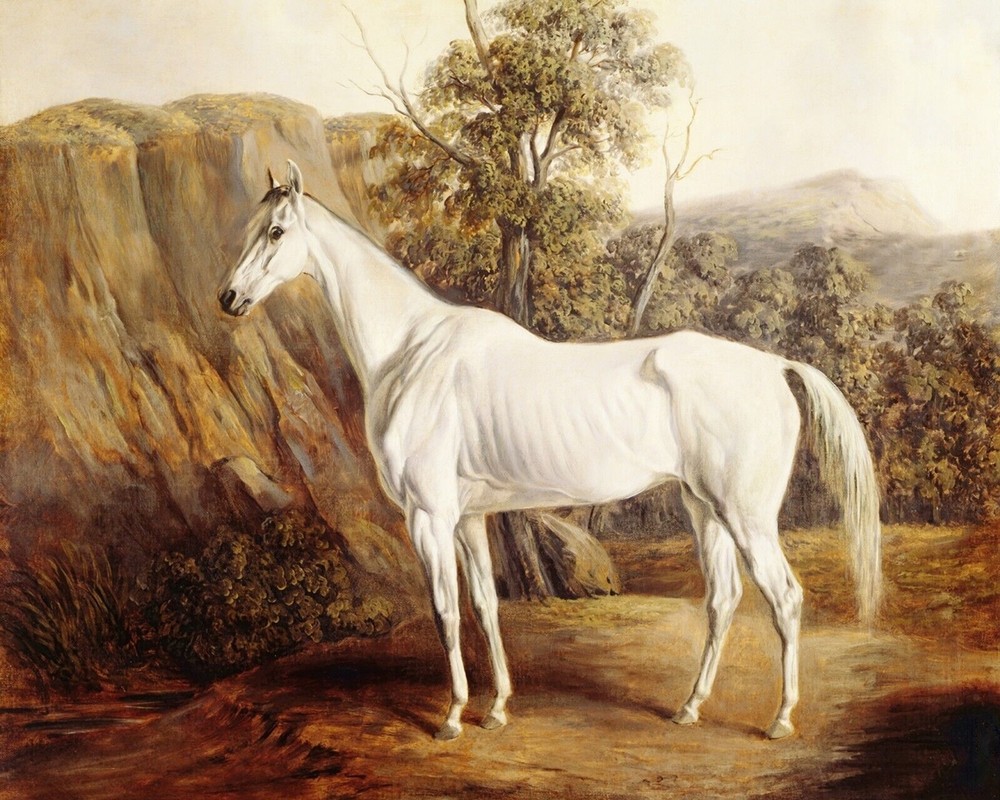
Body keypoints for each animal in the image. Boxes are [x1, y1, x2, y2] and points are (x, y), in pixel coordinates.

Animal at [218, 160, 882, 741]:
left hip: (747, 516)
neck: (412, 350)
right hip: (705, 509)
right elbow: (485, 606)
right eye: (249, 229)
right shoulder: (469, 519)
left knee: (784, 599)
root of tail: (773, 365)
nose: (228, 298)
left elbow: (445, 612)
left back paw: (780, 720)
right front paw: (496, 709)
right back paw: (690, 709)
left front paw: (452, 718)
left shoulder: (428, 516)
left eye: (276, 232)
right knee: (723, 600)